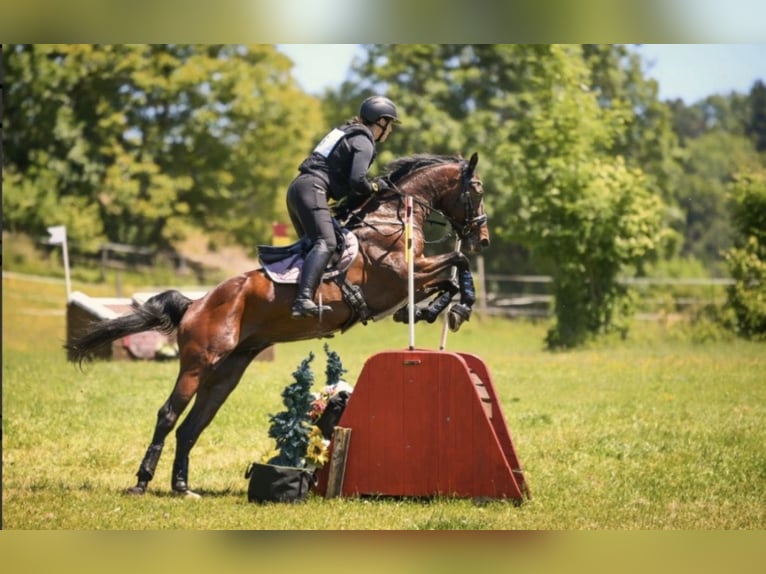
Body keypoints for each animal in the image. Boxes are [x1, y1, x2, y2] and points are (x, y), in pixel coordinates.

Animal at [66, 152, 490, 497]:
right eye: (477, 191)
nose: (483, 239)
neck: (389, 221)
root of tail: (195, 304)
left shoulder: (411, 278)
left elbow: (452, 276)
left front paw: (433, 312)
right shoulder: (400, 277)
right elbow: (457, 264)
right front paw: (453, 308)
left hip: (227, 372)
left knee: (193, 425)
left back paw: (182, 487)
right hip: (197, 363)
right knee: (168, 415)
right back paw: (141, 482)